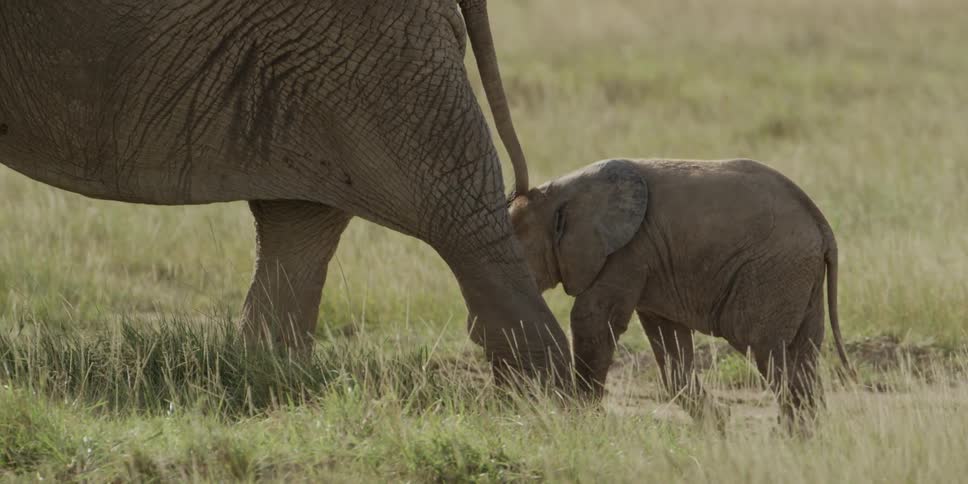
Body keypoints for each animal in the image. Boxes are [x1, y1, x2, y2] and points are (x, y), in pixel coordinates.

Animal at [509, 158, 853, 430]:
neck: (560, 193)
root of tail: (824, 227)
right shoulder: (652, 262)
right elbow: (669, 341)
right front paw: (718, 426)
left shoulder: (628, 250)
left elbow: (591, 318)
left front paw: (582, 419)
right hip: (802, 277)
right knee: (804, 352)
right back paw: (806, 438)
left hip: (774, 272)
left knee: (764, 349)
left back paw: (789, 436)